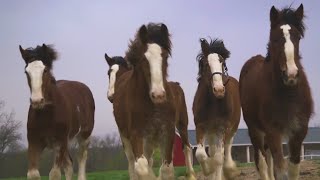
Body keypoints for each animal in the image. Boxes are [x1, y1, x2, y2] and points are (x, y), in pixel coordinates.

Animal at [18, 44, 94, 180]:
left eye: (45, 70)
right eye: (26, 72)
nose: (37, 101)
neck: (46, 114)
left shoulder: (60, 141)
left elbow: (54, 174)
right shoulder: (34, 141)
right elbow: (33, 174)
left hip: (84, 135)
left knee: (81, 157)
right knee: (69, 165)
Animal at [112, 23, 196, 179]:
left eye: (165, 56)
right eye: (143, 59)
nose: (158, 95)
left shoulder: (168, 131)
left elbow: (167, 169)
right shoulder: (136, 134)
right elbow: (142, 167)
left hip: (182, 124)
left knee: (186, 148)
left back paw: (191, 175)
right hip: (129, 137)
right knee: (133, 162)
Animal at [192, 37, 240, 179]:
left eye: (222, 63)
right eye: (206, 64)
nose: (219, 90)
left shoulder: (222, 127)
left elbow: (219, 158)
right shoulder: (201, 126)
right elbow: (201, 154)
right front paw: (208, 169)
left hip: (231, 129)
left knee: (227, 148)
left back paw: (230, 169)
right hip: (211, 132)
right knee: (212, 151)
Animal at [240, 3, 312, 179]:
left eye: (298, 37)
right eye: (274, 38)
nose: (291, 74)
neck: (288, 94)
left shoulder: (299, 131)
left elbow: (293, 170)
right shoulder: (273, 131)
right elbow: (280, 171)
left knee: (268, 159)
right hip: (255, 131)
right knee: (262, 162)